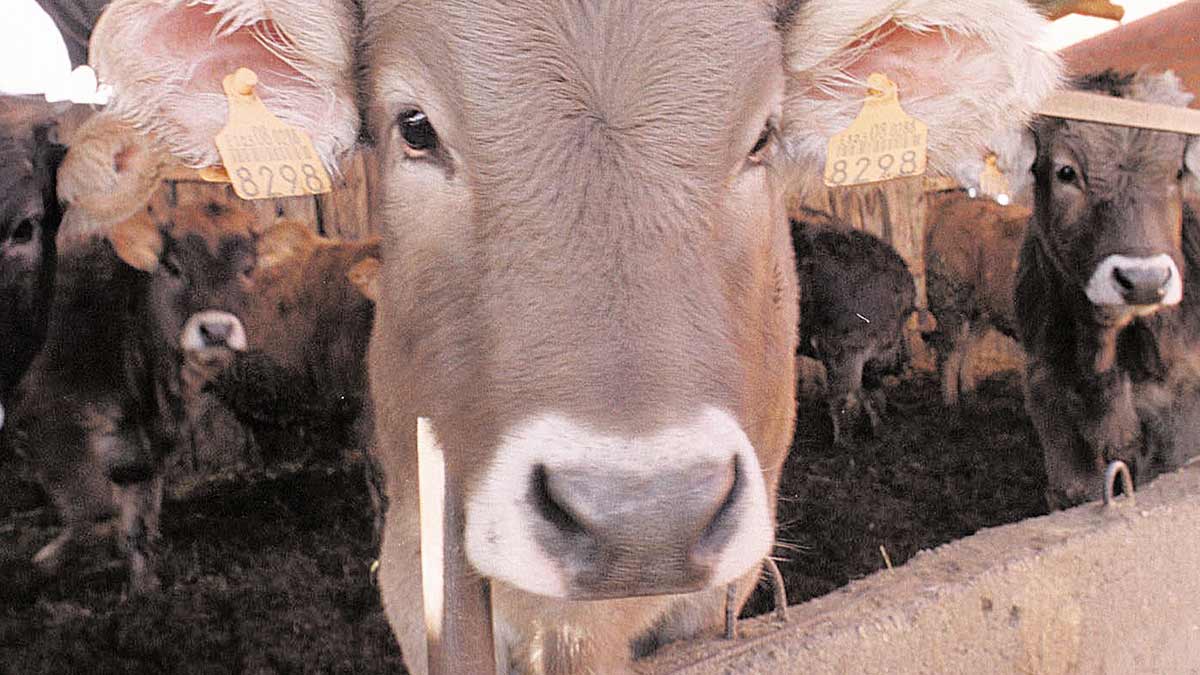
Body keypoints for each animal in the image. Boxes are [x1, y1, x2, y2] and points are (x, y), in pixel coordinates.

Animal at [6, 200, 292, 588]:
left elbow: (138, 518)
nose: (216, 330)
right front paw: (49, 558)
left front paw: (146, 588)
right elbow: (97, 516)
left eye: (248, 269)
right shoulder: (54, 425)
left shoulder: (145, 445)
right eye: (172, 267)